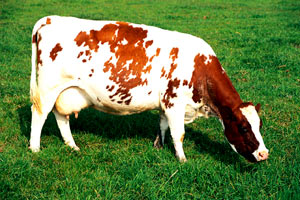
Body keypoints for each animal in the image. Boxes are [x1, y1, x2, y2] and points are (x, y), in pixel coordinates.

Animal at [29, 15, 270, 162]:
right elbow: (179, 133)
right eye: (244, 128)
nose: (264, 154)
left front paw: (159, 146)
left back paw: (72, 146)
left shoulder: (166, 103)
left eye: (259, 125)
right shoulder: (174, 102)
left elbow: (162, 125)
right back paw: (34, 148)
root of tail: (50, 19)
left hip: (66, 91)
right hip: (49, 89)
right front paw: (182, 159)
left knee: (61, 116)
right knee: (39, 115)